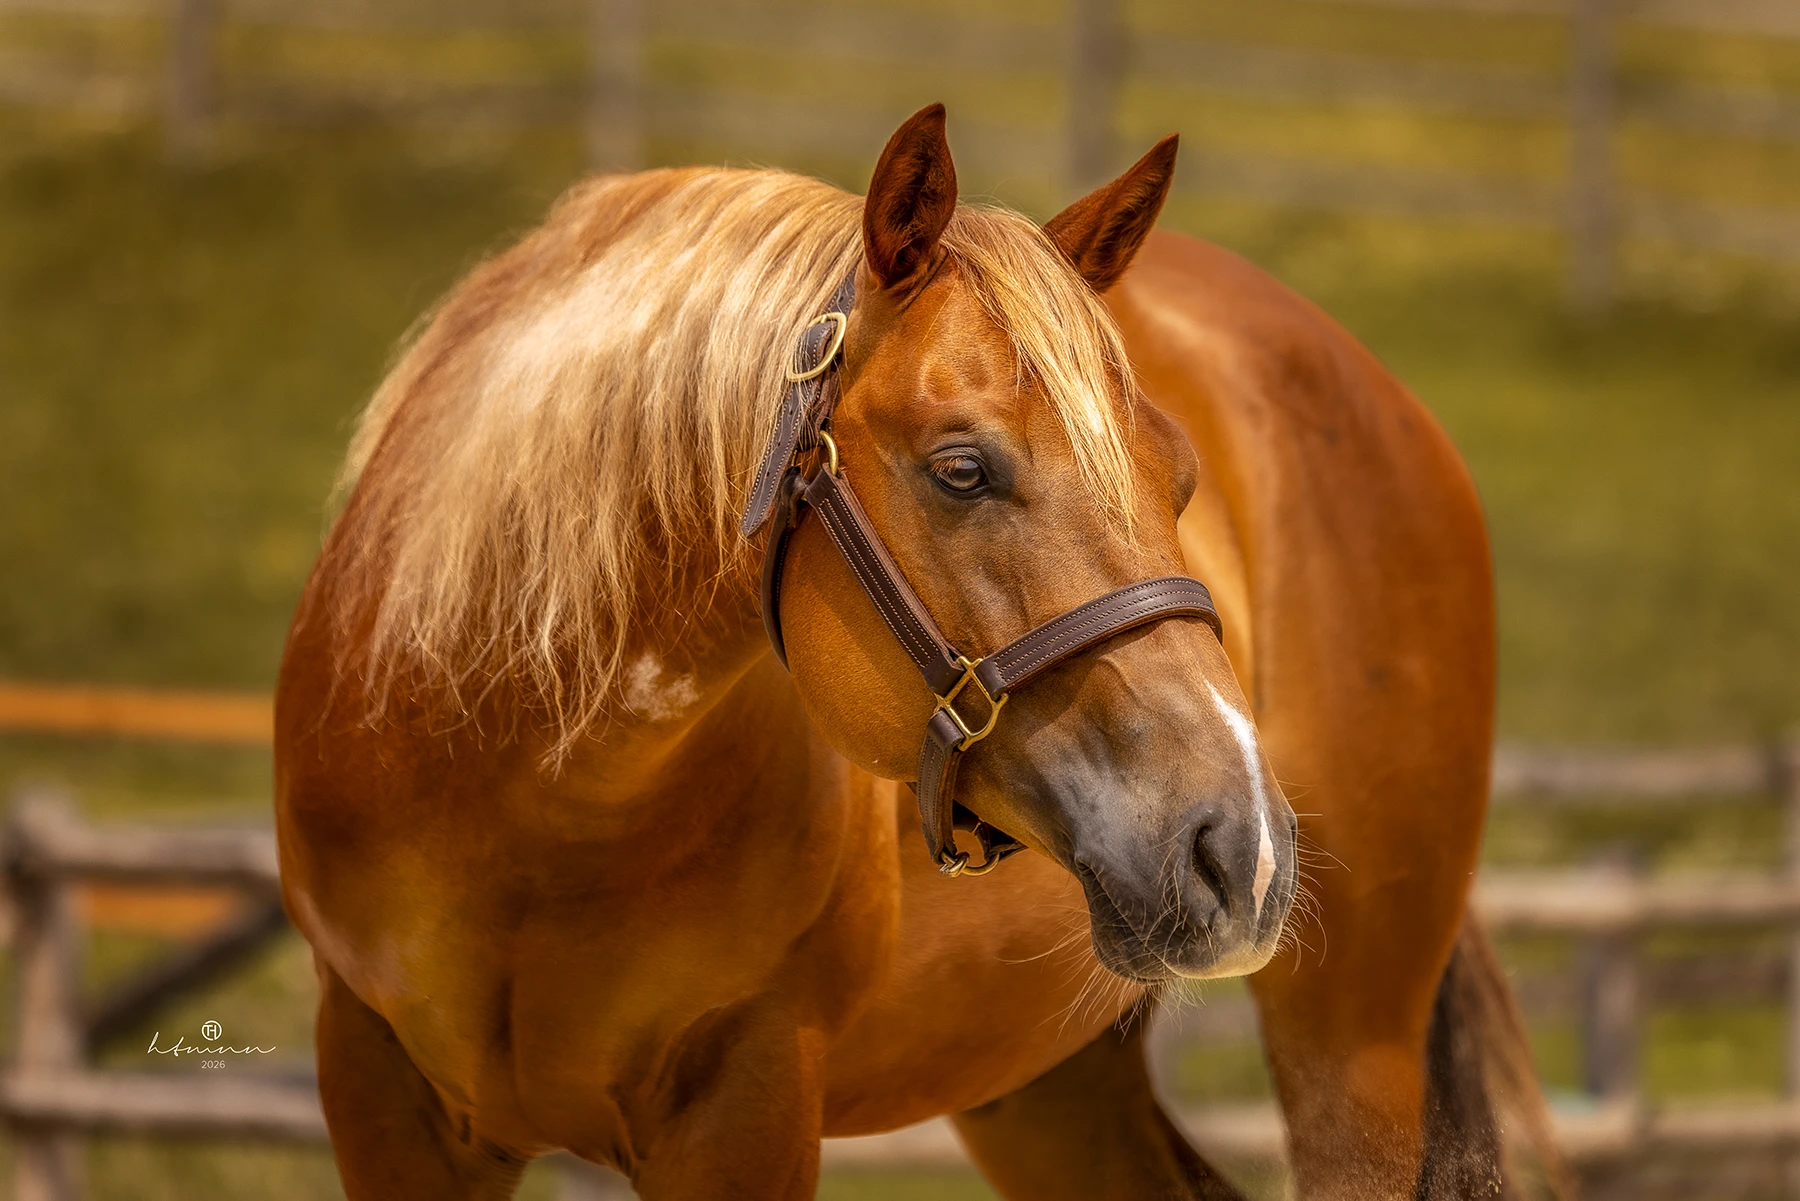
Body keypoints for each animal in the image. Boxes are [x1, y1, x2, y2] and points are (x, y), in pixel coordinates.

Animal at [275, 104, 1564, 1199]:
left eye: (1180, 473)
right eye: (961, 468)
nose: (1234, 849)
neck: (526, 783)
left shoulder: (745, 1106)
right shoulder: (380, 1086)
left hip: (1352, 1040)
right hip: (1042, 1082)